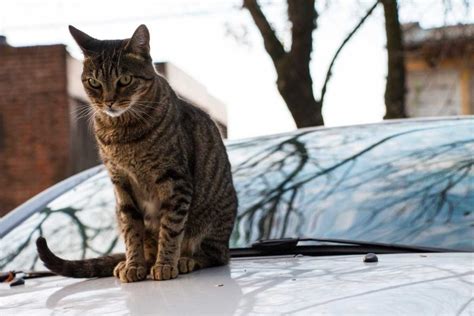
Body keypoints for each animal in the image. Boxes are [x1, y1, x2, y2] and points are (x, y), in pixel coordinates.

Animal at [34, 24, 237, 282]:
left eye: (125, 79)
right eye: (93, 82)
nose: (109, 102)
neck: (122, 133)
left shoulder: (175, 180)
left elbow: (170, 228)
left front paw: (165, 263)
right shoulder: (121, 183)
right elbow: (131, 229)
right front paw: (133, 264)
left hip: (213, 221)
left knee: (214, 255)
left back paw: (185, 260)